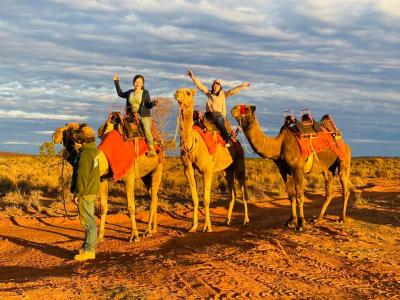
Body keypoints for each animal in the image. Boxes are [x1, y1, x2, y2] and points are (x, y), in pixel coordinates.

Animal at [173, 86, 248, 232]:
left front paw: (207, 227)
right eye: (179, 90)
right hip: (227, 170)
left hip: (240, 163)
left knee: (243, 191)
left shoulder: (207, 170)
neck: (193, 144)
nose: (176, 94)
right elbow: (195, 198)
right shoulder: (187, 169)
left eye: (188, 92)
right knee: (232, 193)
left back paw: (246, 221)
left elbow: (206, 199)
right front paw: (193, 226)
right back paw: (227, 220)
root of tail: (236, 141)